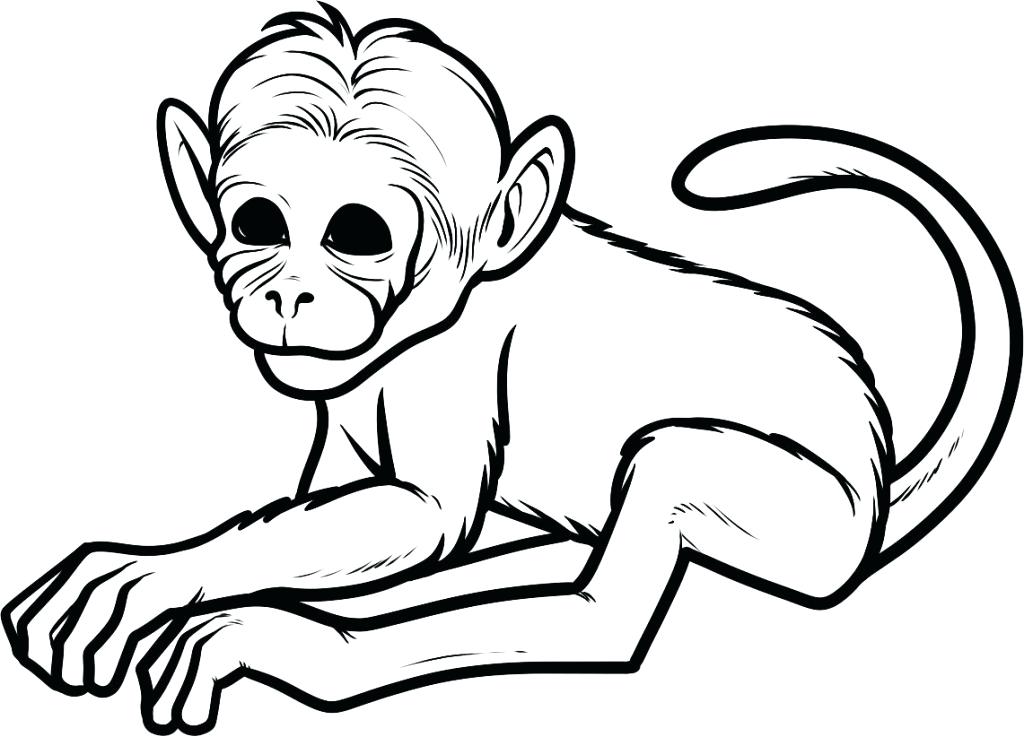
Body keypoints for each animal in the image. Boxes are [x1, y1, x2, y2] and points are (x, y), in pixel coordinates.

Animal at [3, 4, 1020, 734]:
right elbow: (337, 510)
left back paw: (314, 648)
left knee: (612, 588)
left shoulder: (447, 366)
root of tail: (878, 477)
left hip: (811, 519)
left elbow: (425, 514)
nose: (289, 293)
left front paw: (182, 584)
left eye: (356, 234)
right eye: (258, 224)